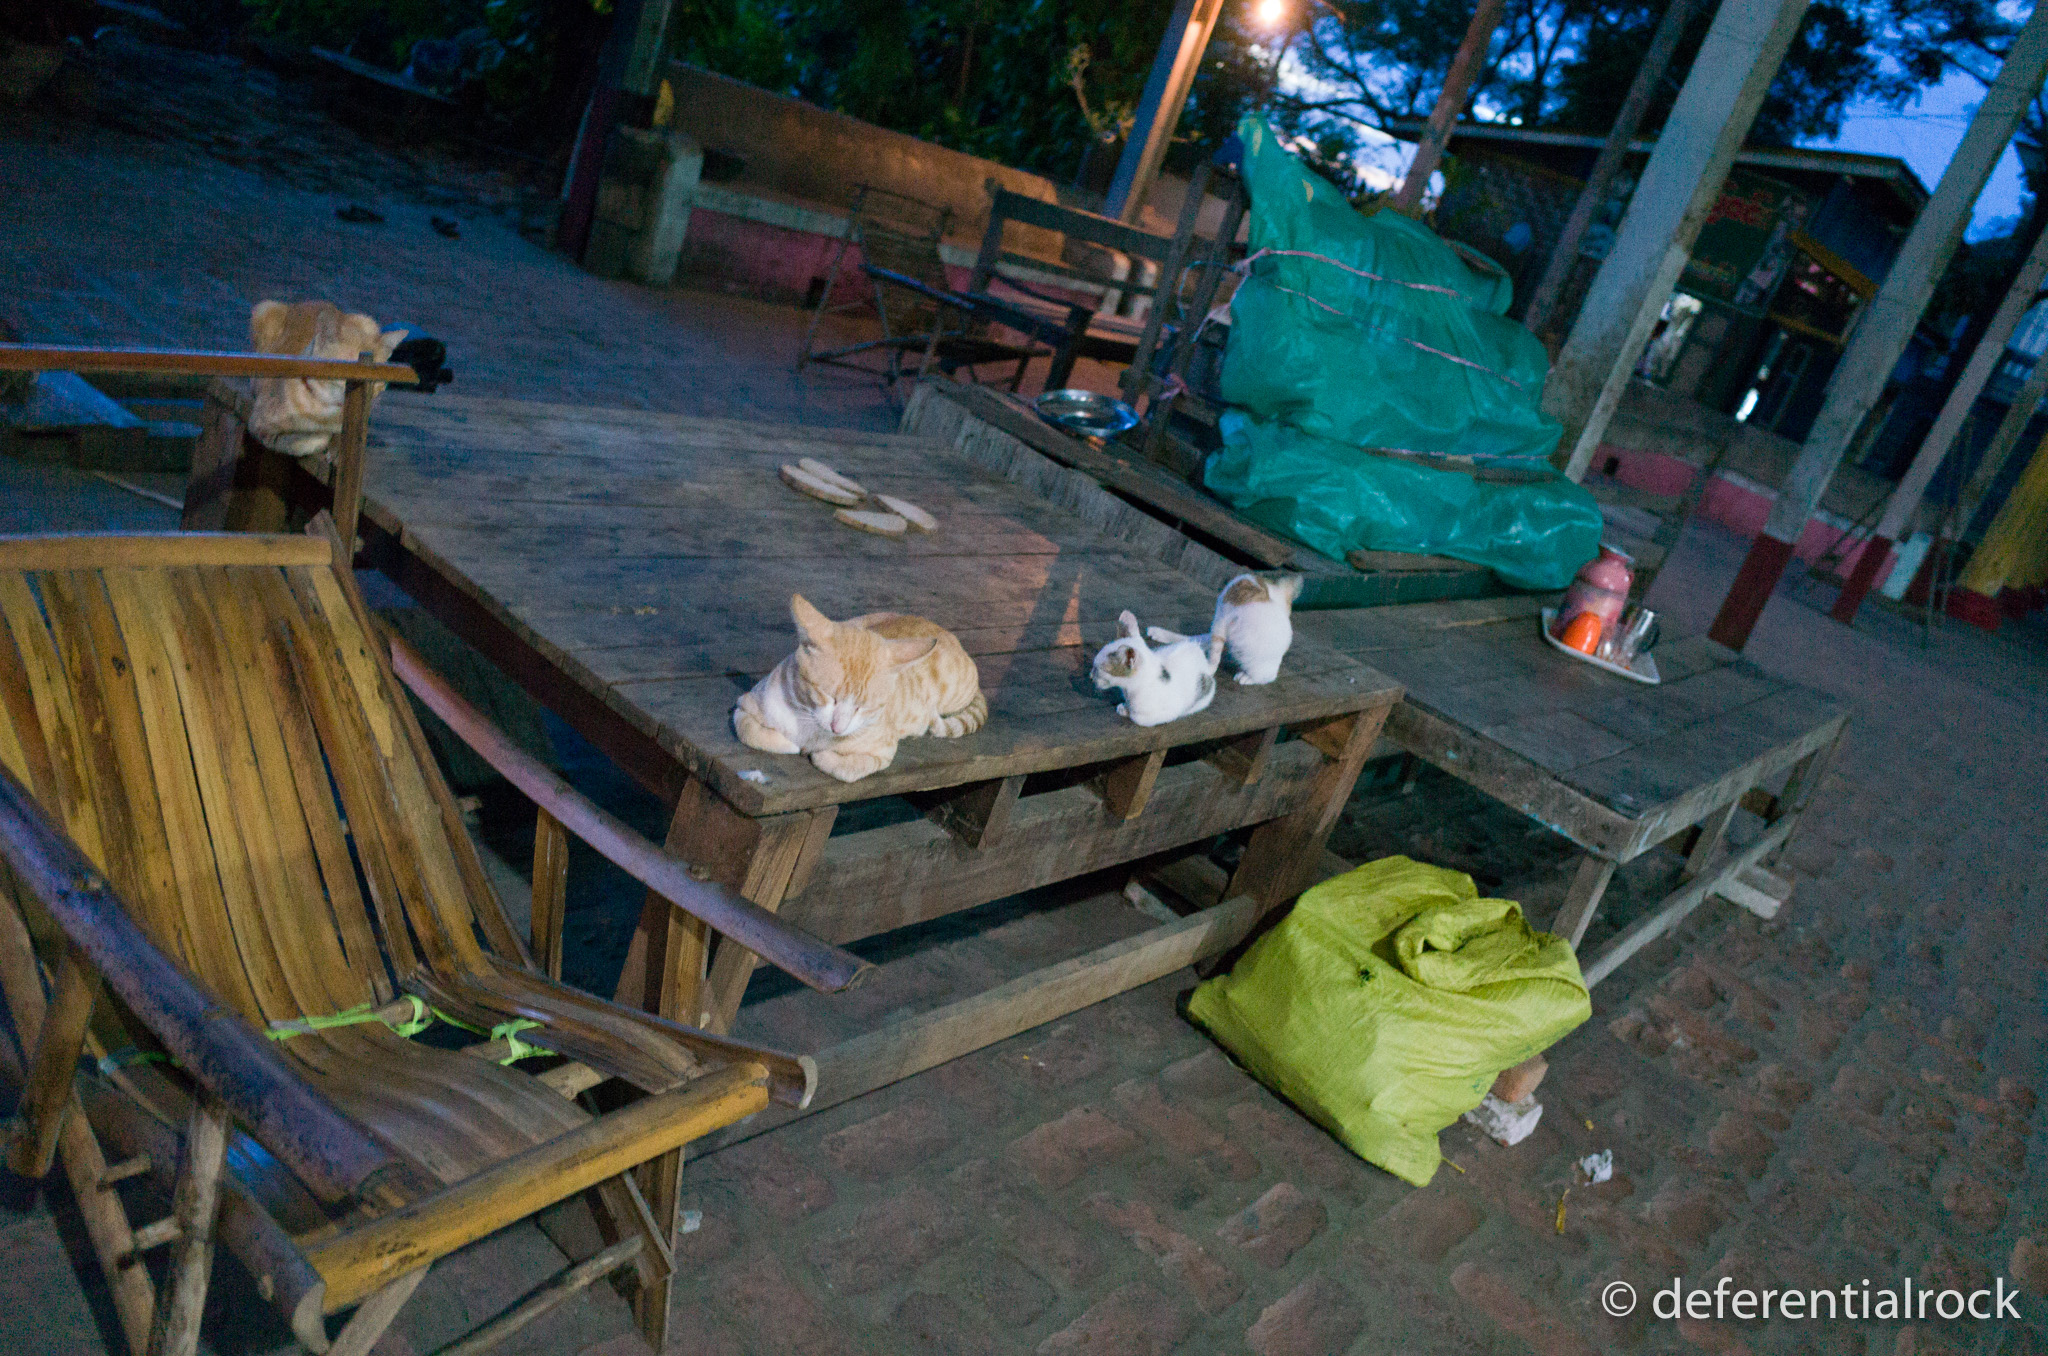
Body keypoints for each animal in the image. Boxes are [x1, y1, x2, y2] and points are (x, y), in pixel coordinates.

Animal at [734, 595, 987, 783]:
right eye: (829, 696)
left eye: (864, 708)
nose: (837, 728)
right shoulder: (744, 705)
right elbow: (749, 730)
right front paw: (788, 743)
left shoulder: (884, 751)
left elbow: (847, 769)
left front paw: (820, 754)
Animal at [1091, 611, 1223, 727]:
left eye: (1099, 669)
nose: (1090, 676)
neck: (1129, 690)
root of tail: (1204, 661)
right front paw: (1125, 707)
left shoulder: (1170, 711)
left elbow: (1139, 718)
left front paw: (1127, 711)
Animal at [1147, 571, 1304, 686]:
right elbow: (1195, 640)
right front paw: (1160, 634)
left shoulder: (1220, 621)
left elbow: (1213, 657)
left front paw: (1208, 667)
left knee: (1268, 676)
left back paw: (1246, 677)